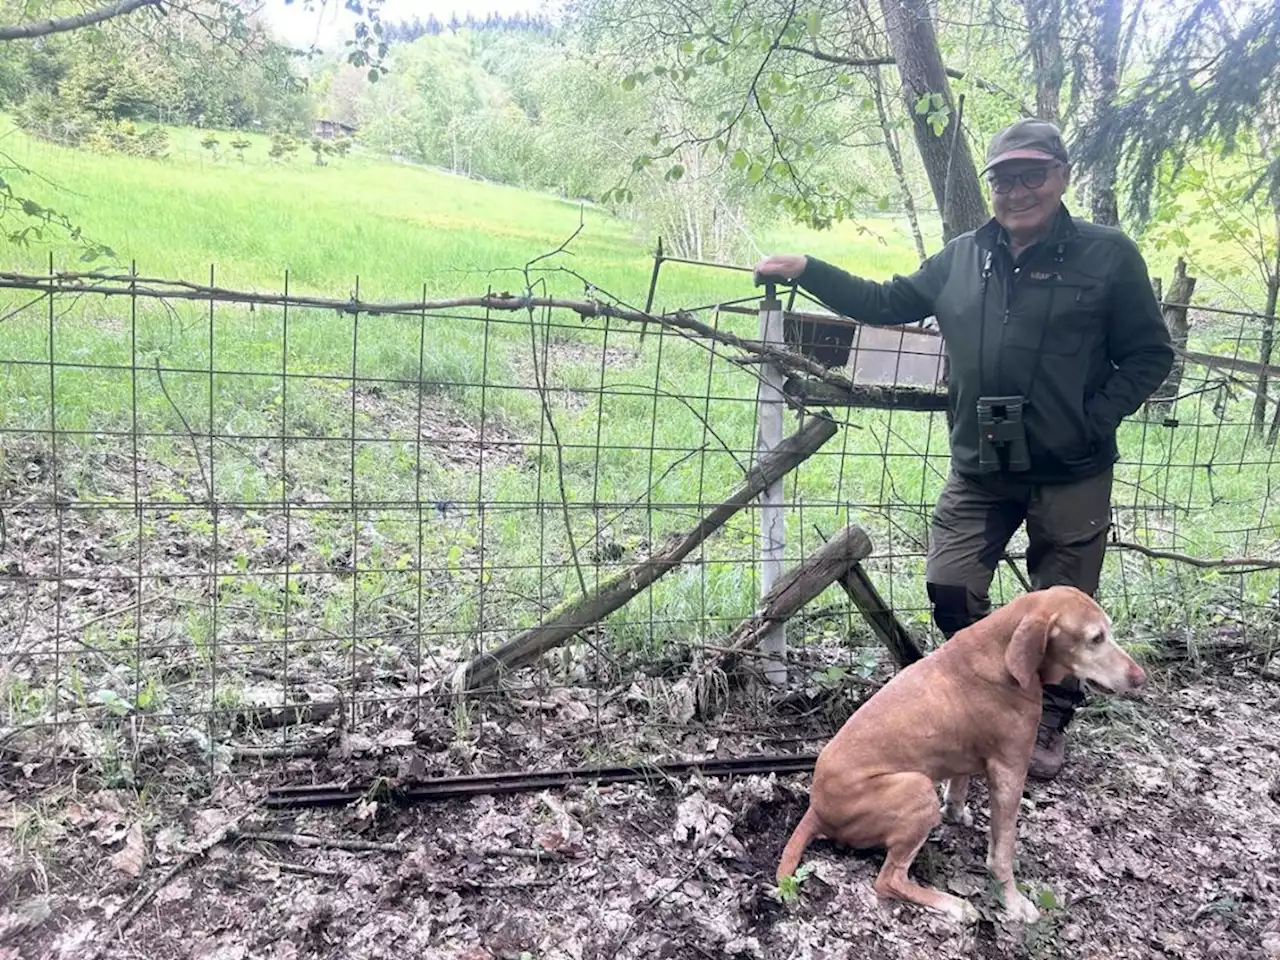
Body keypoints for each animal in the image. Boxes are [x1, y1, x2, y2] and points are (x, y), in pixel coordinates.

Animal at [773, 586, 1146, 926]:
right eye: (1095, 638)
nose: (1140, 678)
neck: (1003, 654)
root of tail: (816, 809)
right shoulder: (1010, 771)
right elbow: (1002, 852)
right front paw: (1012, 901)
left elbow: (958, 782)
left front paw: (954, 812)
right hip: (916, 788)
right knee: (888, 880)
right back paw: (954, 905)